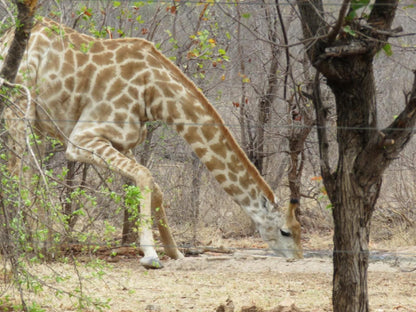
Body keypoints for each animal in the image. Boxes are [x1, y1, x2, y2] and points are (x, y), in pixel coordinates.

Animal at [0, 17, 302, 268]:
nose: (298, 256)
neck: (154, 92)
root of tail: (7, 36)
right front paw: (150, 254)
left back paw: (44, 243)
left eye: (299, 230)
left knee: (29, 171)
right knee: (18, 170)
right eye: (285, 231)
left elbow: (155, 187)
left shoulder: (124, 141)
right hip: (18, 108)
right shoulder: (81, 138)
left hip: (37, 124)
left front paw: (176, 252)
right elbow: (146, 176)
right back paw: (29, 244)